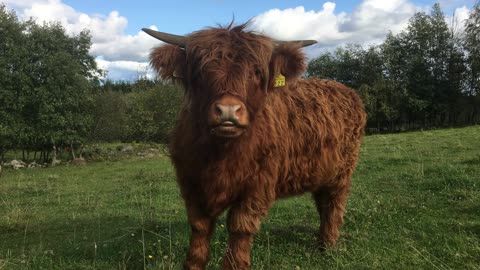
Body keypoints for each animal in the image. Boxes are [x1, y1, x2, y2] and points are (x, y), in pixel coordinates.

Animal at [142, 22, 368, 270]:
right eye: (200, 72)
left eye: (256, 73)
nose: (228, 110)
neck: (219, 154)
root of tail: (345, 89)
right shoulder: (191, 183)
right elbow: (199, 227)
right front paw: (193, 263)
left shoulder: (257, 185)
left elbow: (240, 228)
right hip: (322, 171)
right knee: (322, 203)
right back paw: (321, 243)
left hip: (342, 172)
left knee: (334, 205)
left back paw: (329, 245)